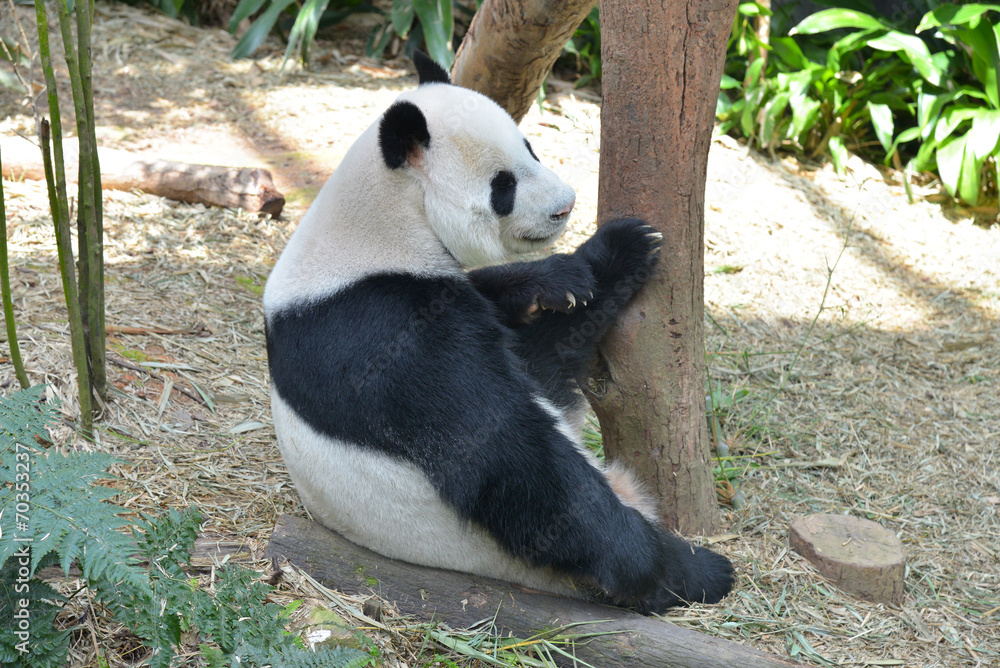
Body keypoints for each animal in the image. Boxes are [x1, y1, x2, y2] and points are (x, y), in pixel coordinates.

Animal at [263, 52, 734, 613]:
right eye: (503, 185)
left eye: (530, 146)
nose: (565, 205)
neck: (380, 224)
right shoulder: (384, 330)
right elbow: (499, 450)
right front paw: (677, 568)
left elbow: (506, 297)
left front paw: (572, 274)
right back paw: (686, 568)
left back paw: (617, 257)